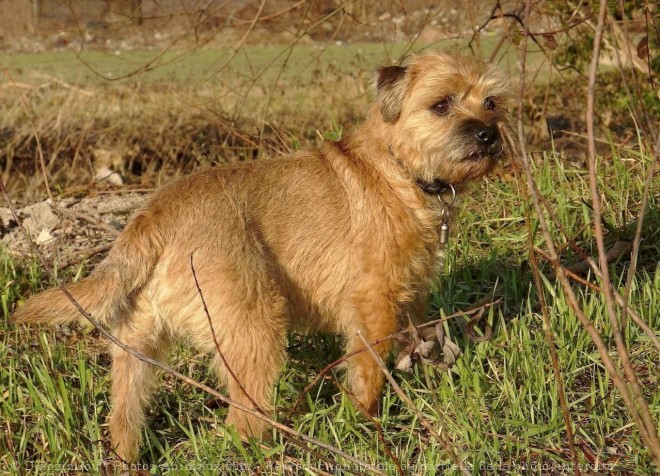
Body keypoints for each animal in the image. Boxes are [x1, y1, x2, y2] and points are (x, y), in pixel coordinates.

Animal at [12, 53, 512, 462]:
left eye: (491, 102)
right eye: (441, 105)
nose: (488, 134)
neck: (400, 168)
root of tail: (155, 216)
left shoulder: (410, 295)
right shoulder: (372, 304)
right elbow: (368, 374)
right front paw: (367, 423)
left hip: (135, 349)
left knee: (125, 417)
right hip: (257, 329)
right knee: (243, 422)